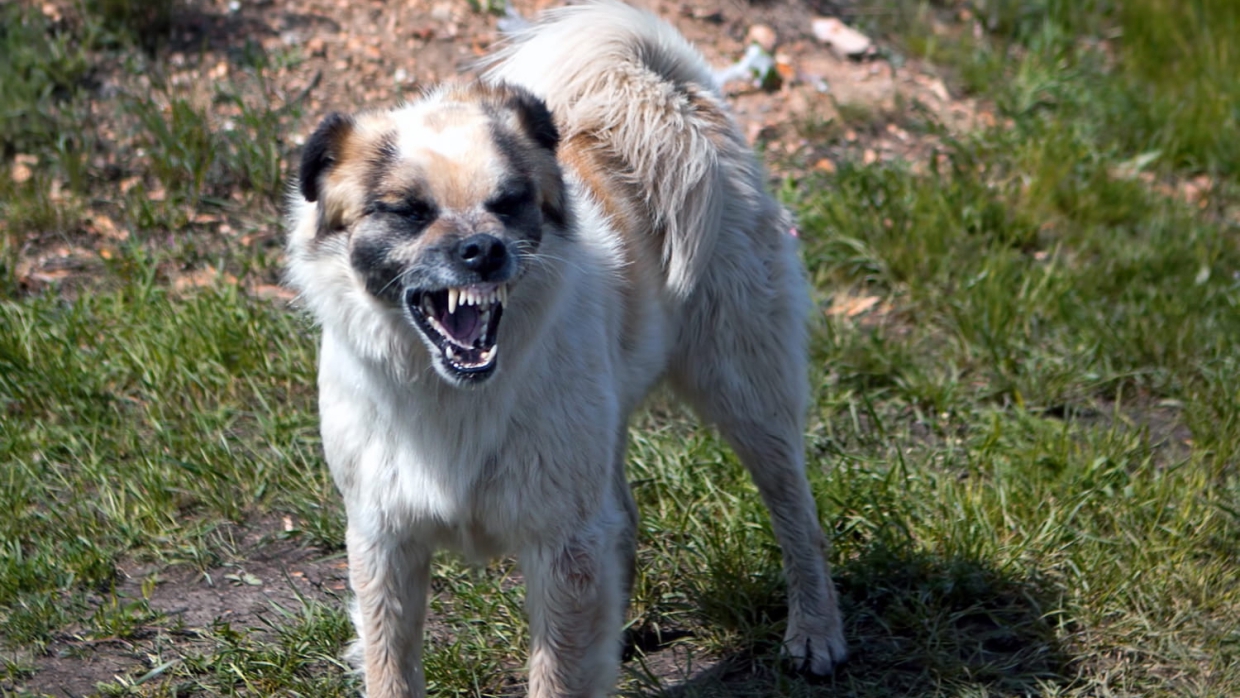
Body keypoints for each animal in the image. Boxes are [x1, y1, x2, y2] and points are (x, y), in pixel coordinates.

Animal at [285, 2, 848, 694]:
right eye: (409, 211)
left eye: (509, 202)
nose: (483, 250)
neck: (452, 397)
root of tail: (677, 95)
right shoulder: (385, 543)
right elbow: (390, 666)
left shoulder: (563, 546)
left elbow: (555, 673)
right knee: (626, 518)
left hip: (748, 392)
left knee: (796, 514)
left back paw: (815, 634)